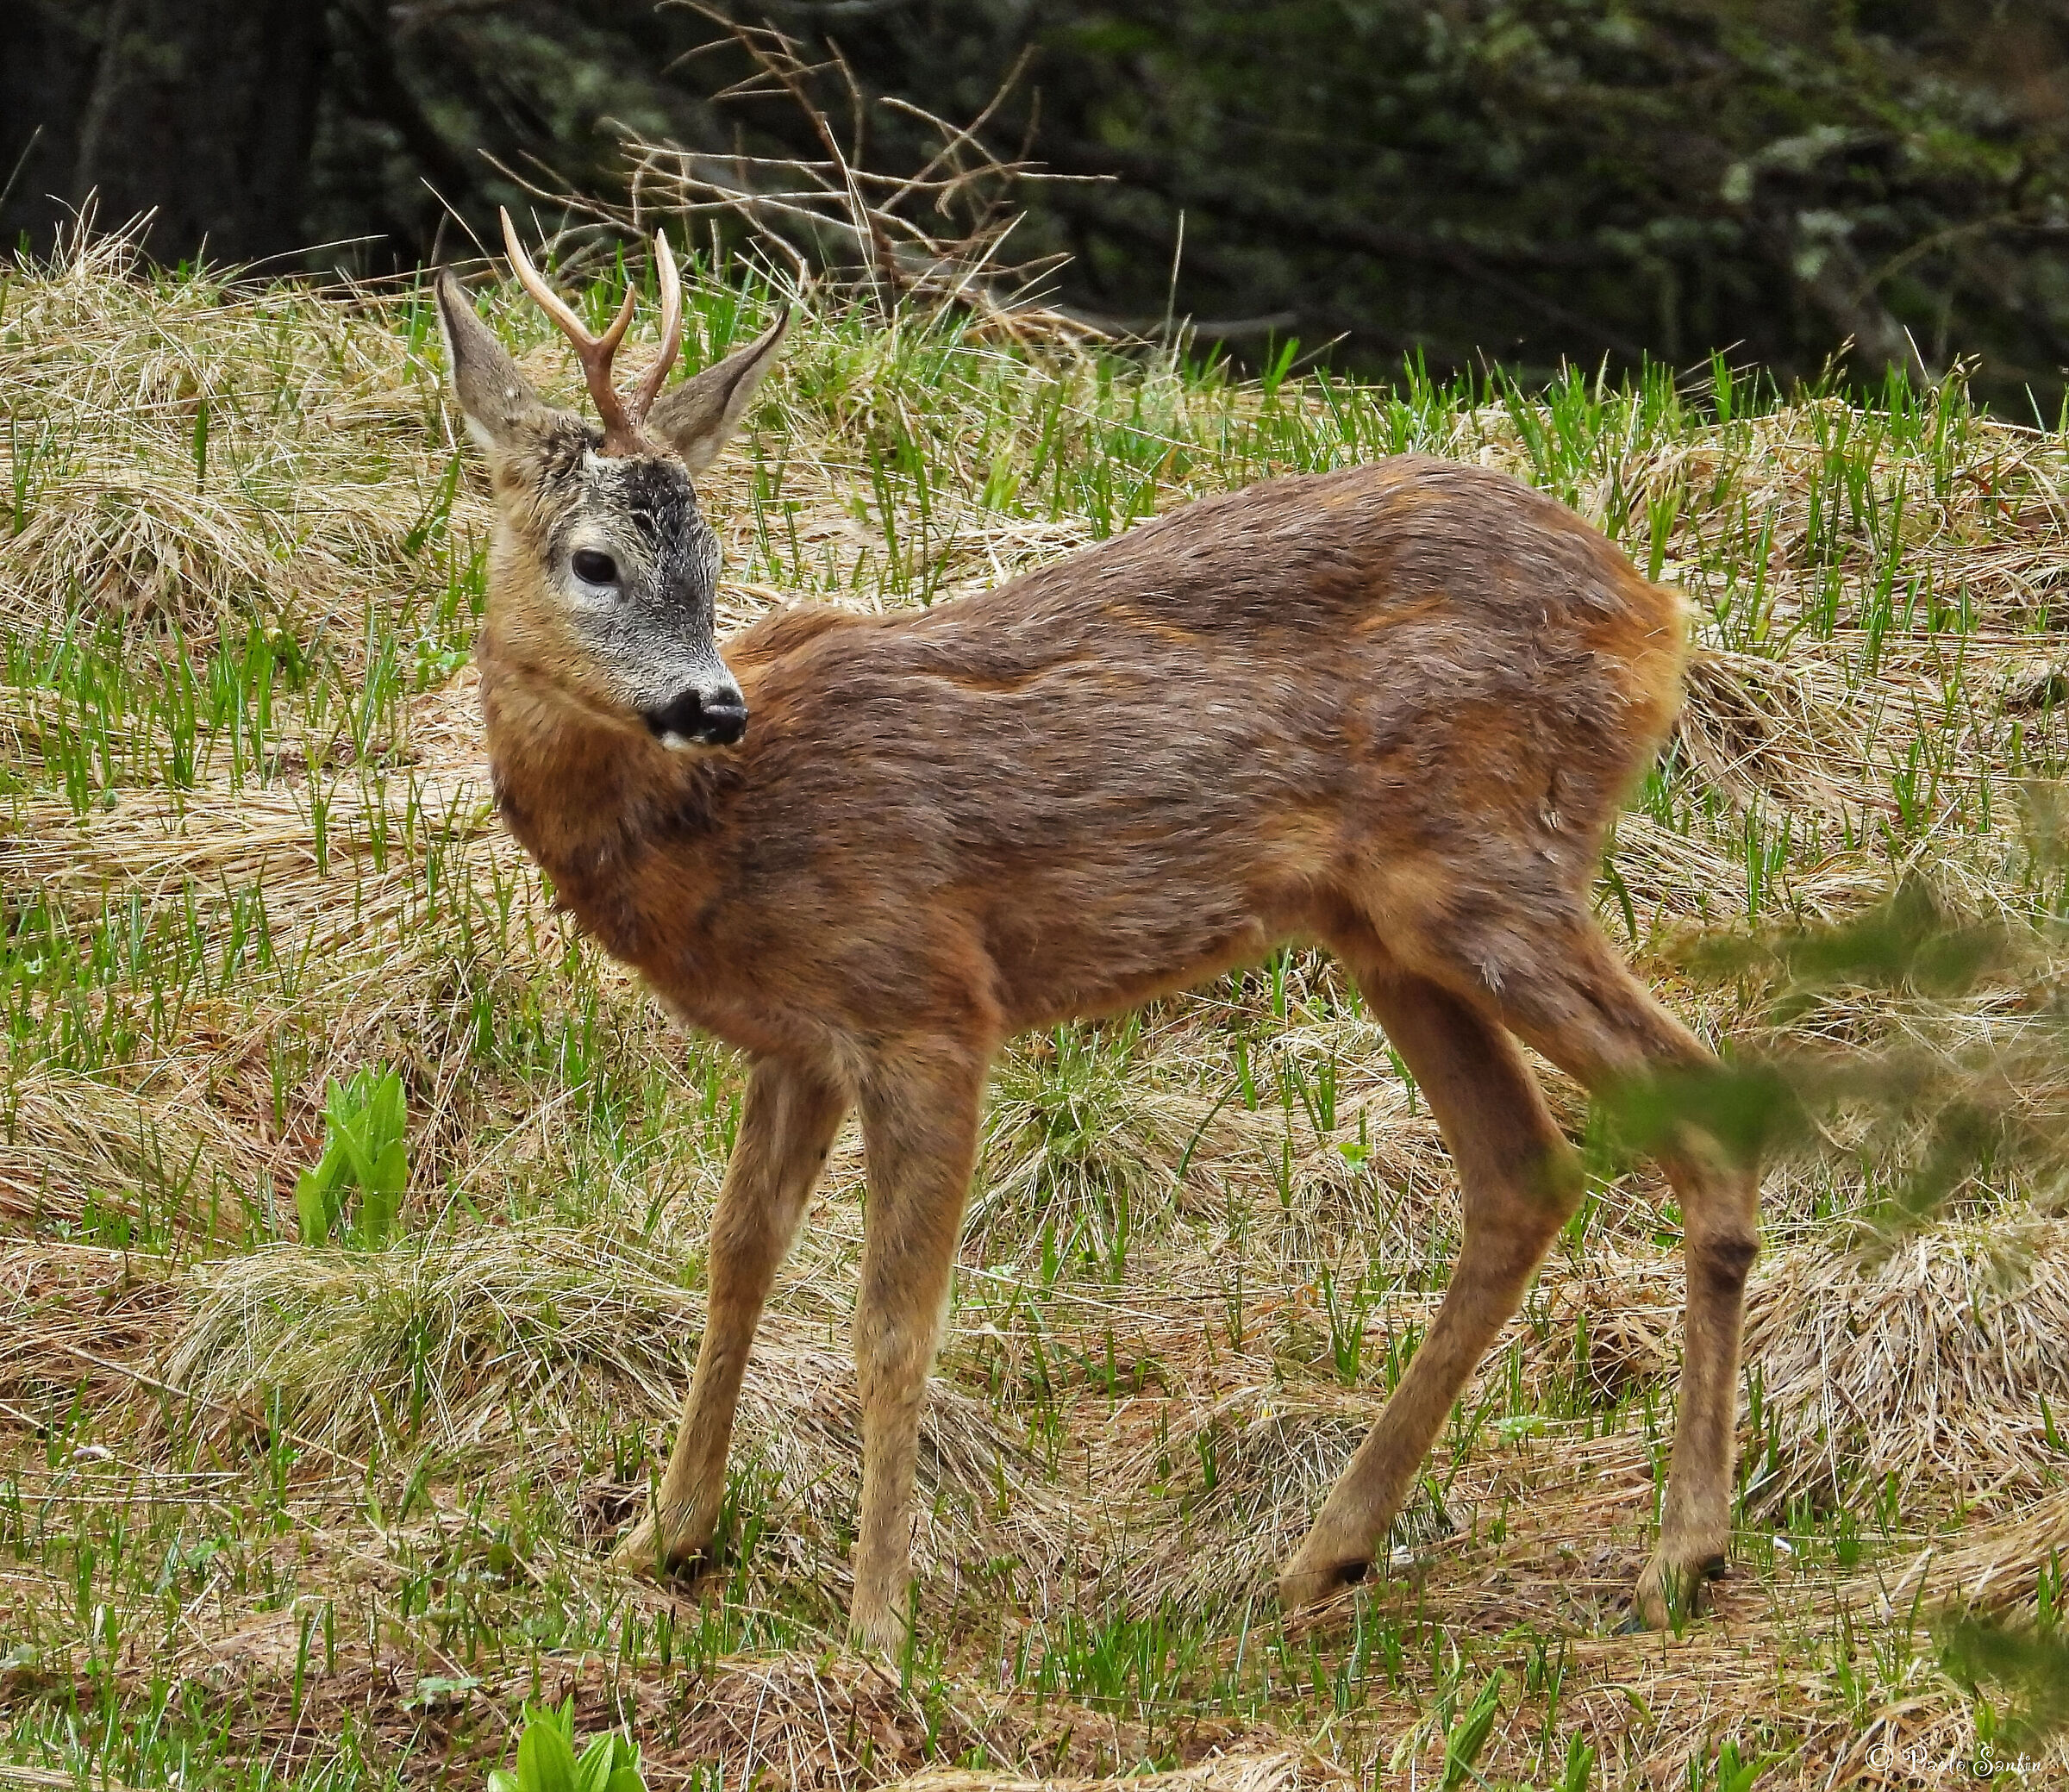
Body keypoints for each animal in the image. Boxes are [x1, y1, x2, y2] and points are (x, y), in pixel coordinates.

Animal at [434, 214, 1762, 1656]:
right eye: (596, 559)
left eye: (714, 560)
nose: (712, 702)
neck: (716, 827)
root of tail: (1657, 611)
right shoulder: (793, 1040)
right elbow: (737, 1259)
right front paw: (659, 1540)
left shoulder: (927, 1000)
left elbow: (893, 1321)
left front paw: (877, 1627)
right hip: (1387, 927)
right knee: (1522, 1171)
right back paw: (1326, 1554)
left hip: (1492, 870)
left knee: (1698, 1109)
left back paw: (1680, 1552)